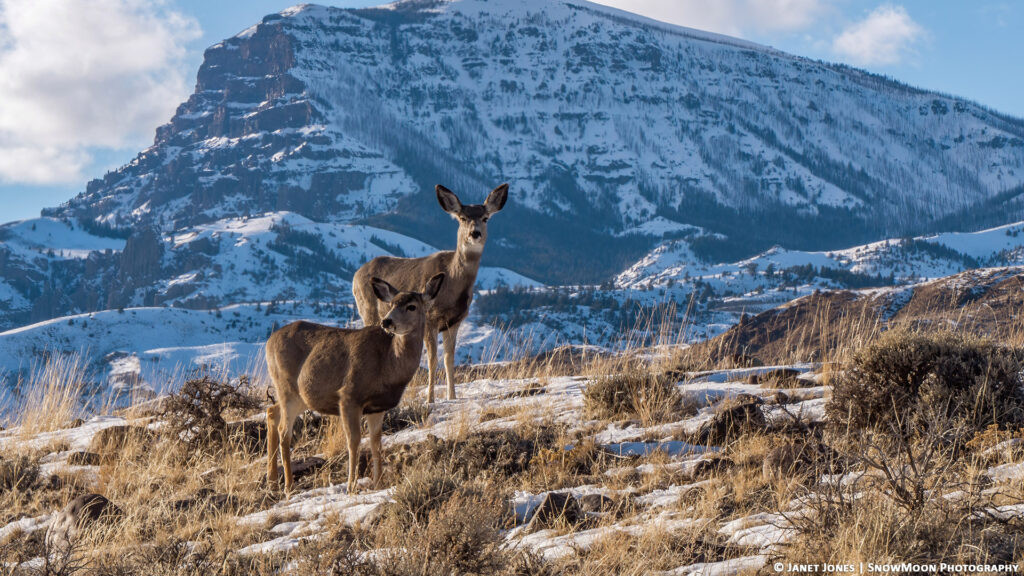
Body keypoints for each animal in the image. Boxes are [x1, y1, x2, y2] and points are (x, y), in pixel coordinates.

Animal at [265, 273, 445, 494]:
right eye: (391, 304)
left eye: (412, 306)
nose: (387, 321)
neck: (388, 364)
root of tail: (269, 342)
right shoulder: (349, 396)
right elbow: (354, 440)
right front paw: (351, 486)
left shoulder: (378, 407)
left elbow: (376, 443)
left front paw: (378, 483)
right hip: (286, 387)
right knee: (285, 431)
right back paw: (289, 485)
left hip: (300, 396)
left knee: (272, 412)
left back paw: (272, 480)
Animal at [352, 183, 508, 403]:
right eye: (462, 218)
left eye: (485, 218)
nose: (475, 233)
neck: (452, 282)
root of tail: (356, 273)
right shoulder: (430, 319)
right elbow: (432, 359)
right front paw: (430, 398)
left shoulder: (455, 321)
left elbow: (449, 359)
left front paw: (452, 396)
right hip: (368, 310)